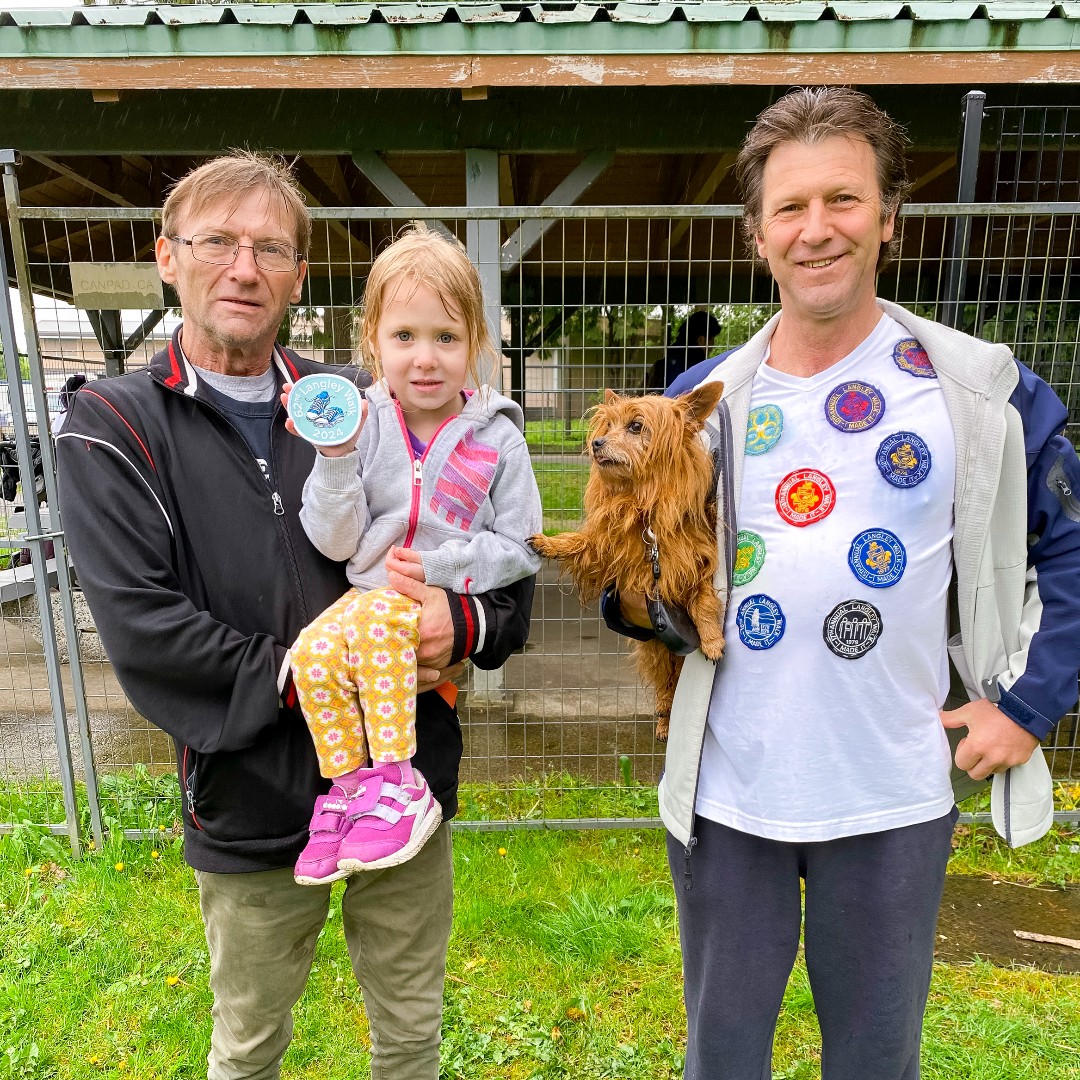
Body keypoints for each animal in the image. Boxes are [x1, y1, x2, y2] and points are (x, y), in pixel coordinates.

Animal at [531, 382, 725, 743]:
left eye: (636, 426)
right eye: (607, 426)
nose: (596, 443)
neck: (643, 503)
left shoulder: (698, 563)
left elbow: (704, 600)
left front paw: (711, 638)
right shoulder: (607, 551)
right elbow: (582, 543)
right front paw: (552, 543)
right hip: (658, 653)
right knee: (666, 690)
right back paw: (664, 722)